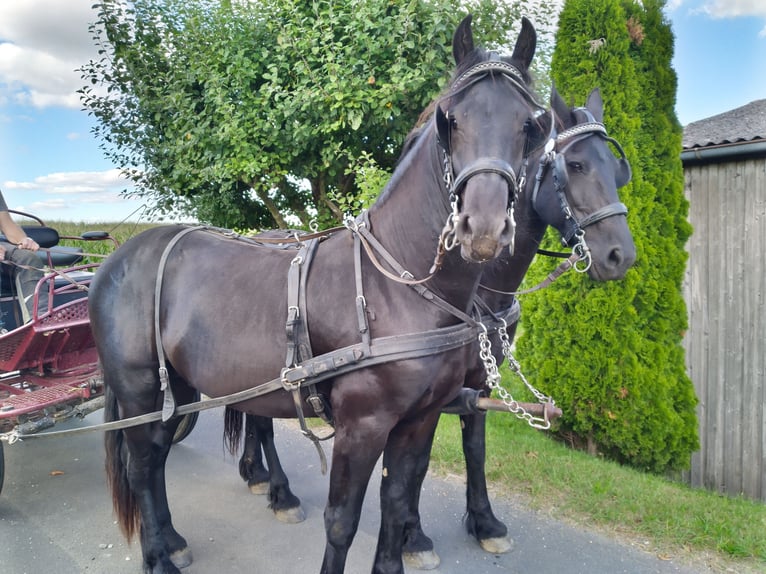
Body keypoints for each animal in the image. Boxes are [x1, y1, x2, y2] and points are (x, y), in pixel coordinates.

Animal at [90, 15, 548, 574]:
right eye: (451, 120)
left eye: (530, 126)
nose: (482, 228)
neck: (397, 289)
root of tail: (119, 256)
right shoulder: (362, 426)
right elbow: (342, 521)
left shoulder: (418, 422)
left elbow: (397, 503)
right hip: (139, 389)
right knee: (140, 466)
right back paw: (159, 556)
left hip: (176, 388)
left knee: (154, 462)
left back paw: (173, 540)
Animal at [230, 84, 637, 569]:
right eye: (575, 165)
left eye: (618, 170)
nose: (620, 254)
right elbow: (417, 467)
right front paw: (415, 536)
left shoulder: (474, 383)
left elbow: (470, 450)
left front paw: (484, 523)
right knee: (262, 421)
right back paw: (280, 491)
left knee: (253, 413)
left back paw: (256, 473)